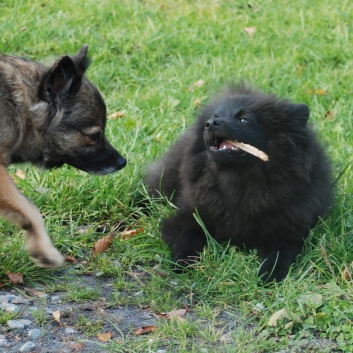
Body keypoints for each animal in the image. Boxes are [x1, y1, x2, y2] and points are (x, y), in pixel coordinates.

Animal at [146, 82, 332, 280]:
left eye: (244, 120)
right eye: (215, 117)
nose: (210, 124)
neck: (239, 184)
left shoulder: (288, 230)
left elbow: (281, 253)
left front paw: (270, 274)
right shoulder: (191, 214)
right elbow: (187, 236)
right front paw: (183, 261)